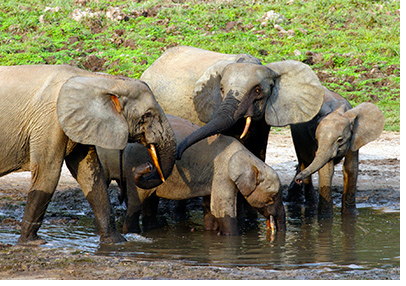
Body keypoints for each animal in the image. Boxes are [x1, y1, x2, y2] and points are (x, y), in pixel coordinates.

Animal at [0, 65, 176, 246]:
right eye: (148, 115)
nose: (147, 166)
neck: (97, 79)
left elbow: (90, 175)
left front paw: (116, 242)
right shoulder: (50, 121)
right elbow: (47, 172)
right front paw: (33, 243)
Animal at [96, 115, 286, 236]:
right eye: (273, 197)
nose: (276, 236)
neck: (249, 158)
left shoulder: (215, 177)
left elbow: (210, 207)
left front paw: (212, 233)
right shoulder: (223, 174)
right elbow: (221, 209)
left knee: (150, 201)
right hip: (134, 163)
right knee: (136, 202)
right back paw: (132, 232)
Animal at [286, 87, 384, 217]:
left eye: (340, 140)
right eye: (316, 139)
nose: (298, 179)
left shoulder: (354, 139)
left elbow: (351, 168)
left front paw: (350, 215)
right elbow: (327, 170)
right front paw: (326, 218)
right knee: (304, 162)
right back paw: (311, 205)